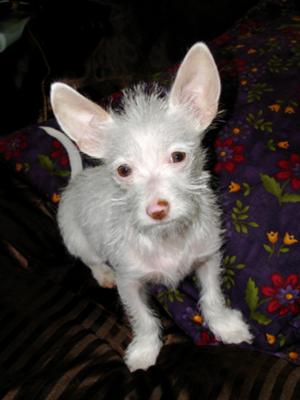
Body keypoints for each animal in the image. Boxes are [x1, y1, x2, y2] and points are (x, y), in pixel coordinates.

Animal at [50, 42, 252, 370]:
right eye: (123, 171)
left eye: (178, 157)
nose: (157, 210)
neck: (167, 237)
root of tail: (78, 178)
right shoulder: (129, 282)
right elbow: (143, 319)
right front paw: (145, 351)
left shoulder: (208, 258)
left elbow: (212, 297)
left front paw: (225, 326)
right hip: (77, 239)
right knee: (90, 260)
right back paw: (102, 274)